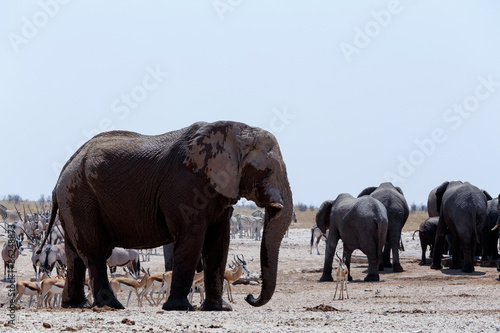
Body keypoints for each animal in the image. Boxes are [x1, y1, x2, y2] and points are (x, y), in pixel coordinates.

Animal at [40, 120, 296, 310]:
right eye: (268, 170)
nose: (250, 298)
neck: (235, 133)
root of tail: (62, 172)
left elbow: (219, 241)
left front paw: (219, 309)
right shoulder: (185, 188)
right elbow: (192, 238)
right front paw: (180, 308)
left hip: (73, 200)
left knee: (74, 254)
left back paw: (76, 306)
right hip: (81, 197)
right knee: (93, 252)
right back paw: (112, 306)